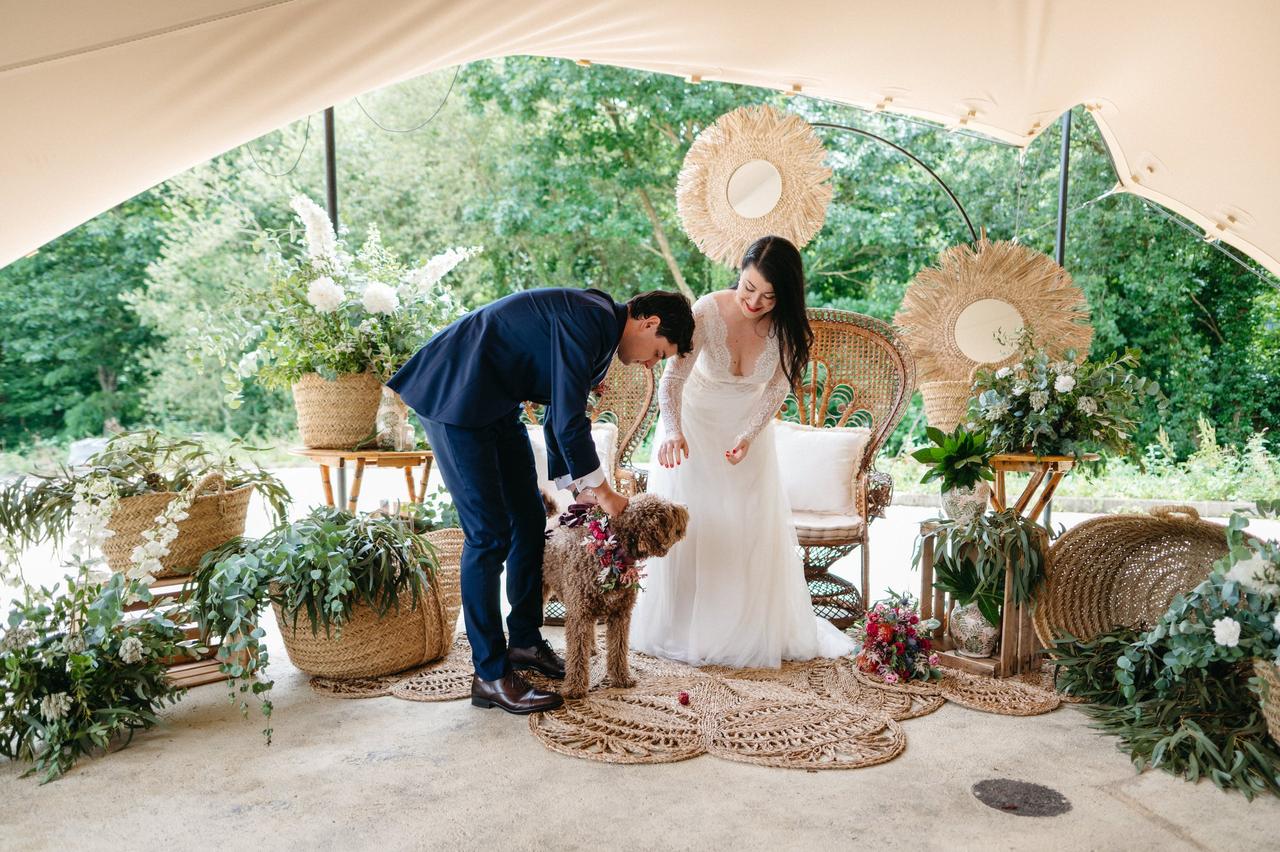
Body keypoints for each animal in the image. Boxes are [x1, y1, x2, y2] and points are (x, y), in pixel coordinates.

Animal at [542, 491, 691, 695]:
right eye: (668, 509)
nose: (685, 507)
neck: (613, 551)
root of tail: (554, 516)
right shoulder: (579, 614)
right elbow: (577, 651)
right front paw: (574, 687)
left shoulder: (620, 614)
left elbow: (618, 648)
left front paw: (622, 677)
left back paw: (593, 648)